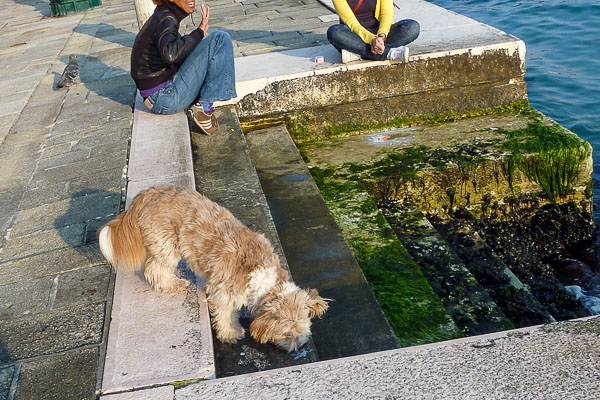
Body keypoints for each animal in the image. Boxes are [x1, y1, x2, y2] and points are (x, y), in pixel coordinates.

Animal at [101, 186, 330, 352]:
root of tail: (148, 193)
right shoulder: (224, 291)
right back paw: (171, 284)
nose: (299, 347)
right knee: (155, 268)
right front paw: (231, 333)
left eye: (303, 329)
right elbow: (226, 314)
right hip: (167, 243)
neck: (264, 277)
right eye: (288, 334)